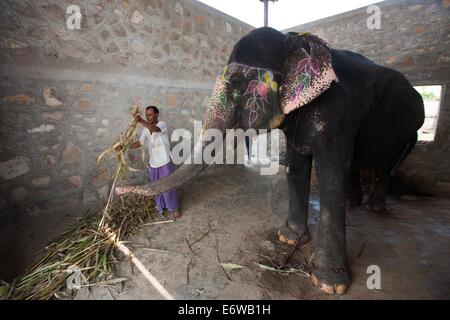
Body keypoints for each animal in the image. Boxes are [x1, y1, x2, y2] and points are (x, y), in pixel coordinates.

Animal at [116, 27, 426, 296]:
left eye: (238, 83)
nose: (118, 190)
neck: (294, 40)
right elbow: (297, 167)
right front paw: (288, 239)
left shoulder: (337, 114)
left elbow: (330, 174)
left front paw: (329, 285)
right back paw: (355, 204)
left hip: (410, 134)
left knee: (385, 169)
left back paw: (373, 209)